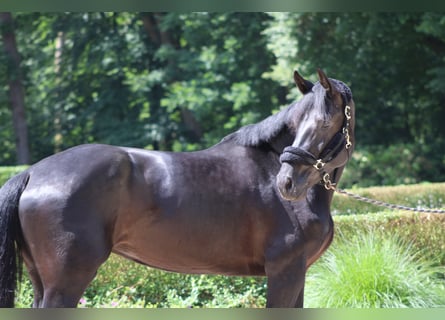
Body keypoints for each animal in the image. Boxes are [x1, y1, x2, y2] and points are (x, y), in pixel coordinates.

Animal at [0, 69, 354, 308]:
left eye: (325, 123)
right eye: (298, 123)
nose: (286, 183)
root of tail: (31, 173)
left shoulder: (298, 272)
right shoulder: (284, 271)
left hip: (42, 282)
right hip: (65, 283)